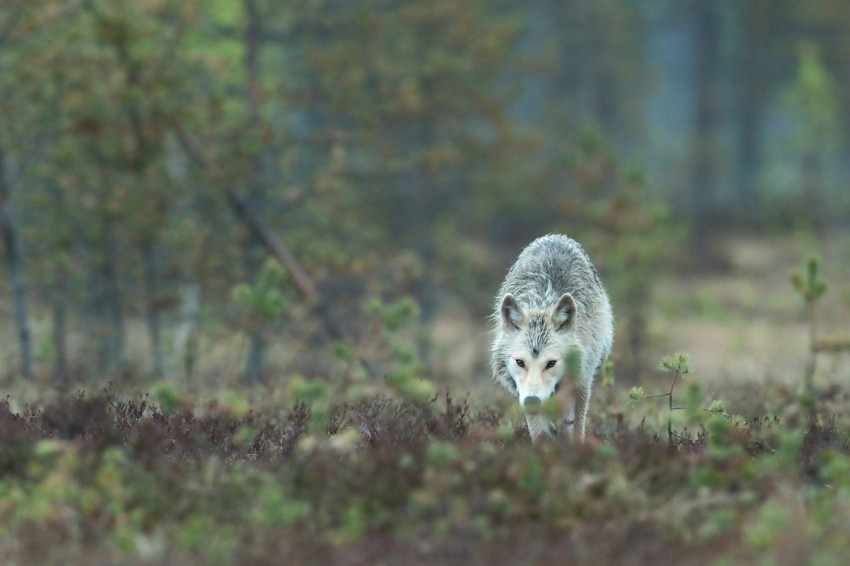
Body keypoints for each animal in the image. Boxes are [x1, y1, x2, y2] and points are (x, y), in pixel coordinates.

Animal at [486, 234, 612, 444]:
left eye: (551, 363)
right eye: (520, 362)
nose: (532, 402)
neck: (543, 302)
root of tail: (556, 236)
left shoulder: (583, 382)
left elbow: (576, 429)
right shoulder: (523, 393)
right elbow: (540, 435)